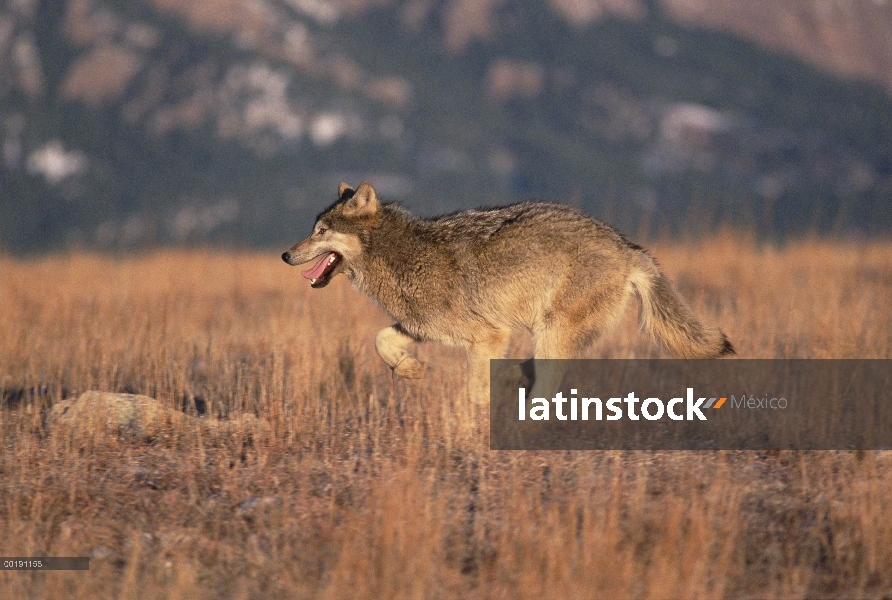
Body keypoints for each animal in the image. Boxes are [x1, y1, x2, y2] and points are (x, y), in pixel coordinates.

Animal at [282, 180, 736, 406]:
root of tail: (628, 248)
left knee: (546, 390)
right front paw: (412, 369)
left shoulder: (488, 336)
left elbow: (472, 397)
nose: (286, 254)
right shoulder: (423, 327)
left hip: (551, 333)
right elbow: (381, 341)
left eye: (320, 231)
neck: (402, 256)